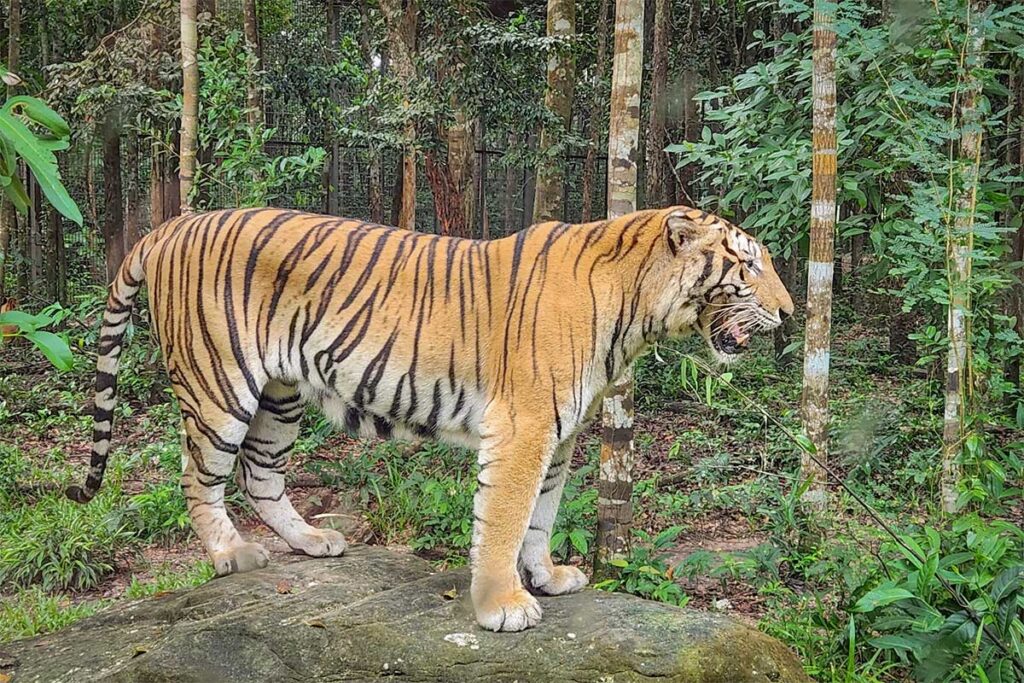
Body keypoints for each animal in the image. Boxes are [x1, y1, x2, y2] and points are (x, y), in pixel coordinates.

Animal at [67, 205, 793, 632]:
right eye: (748, 264)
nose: (790, 314)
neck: (636, 314)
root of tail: (169, 225)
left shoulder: (560, 437)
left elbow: (541, 515)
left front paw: (547, 577)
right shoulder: (525, 427)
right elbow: (503, 519)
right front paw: (502, 604)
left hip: (281, 392)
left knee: (261, 475)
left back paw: (314, 541)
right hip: (220, 384)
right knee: (199, 475)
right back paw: (230, 554)